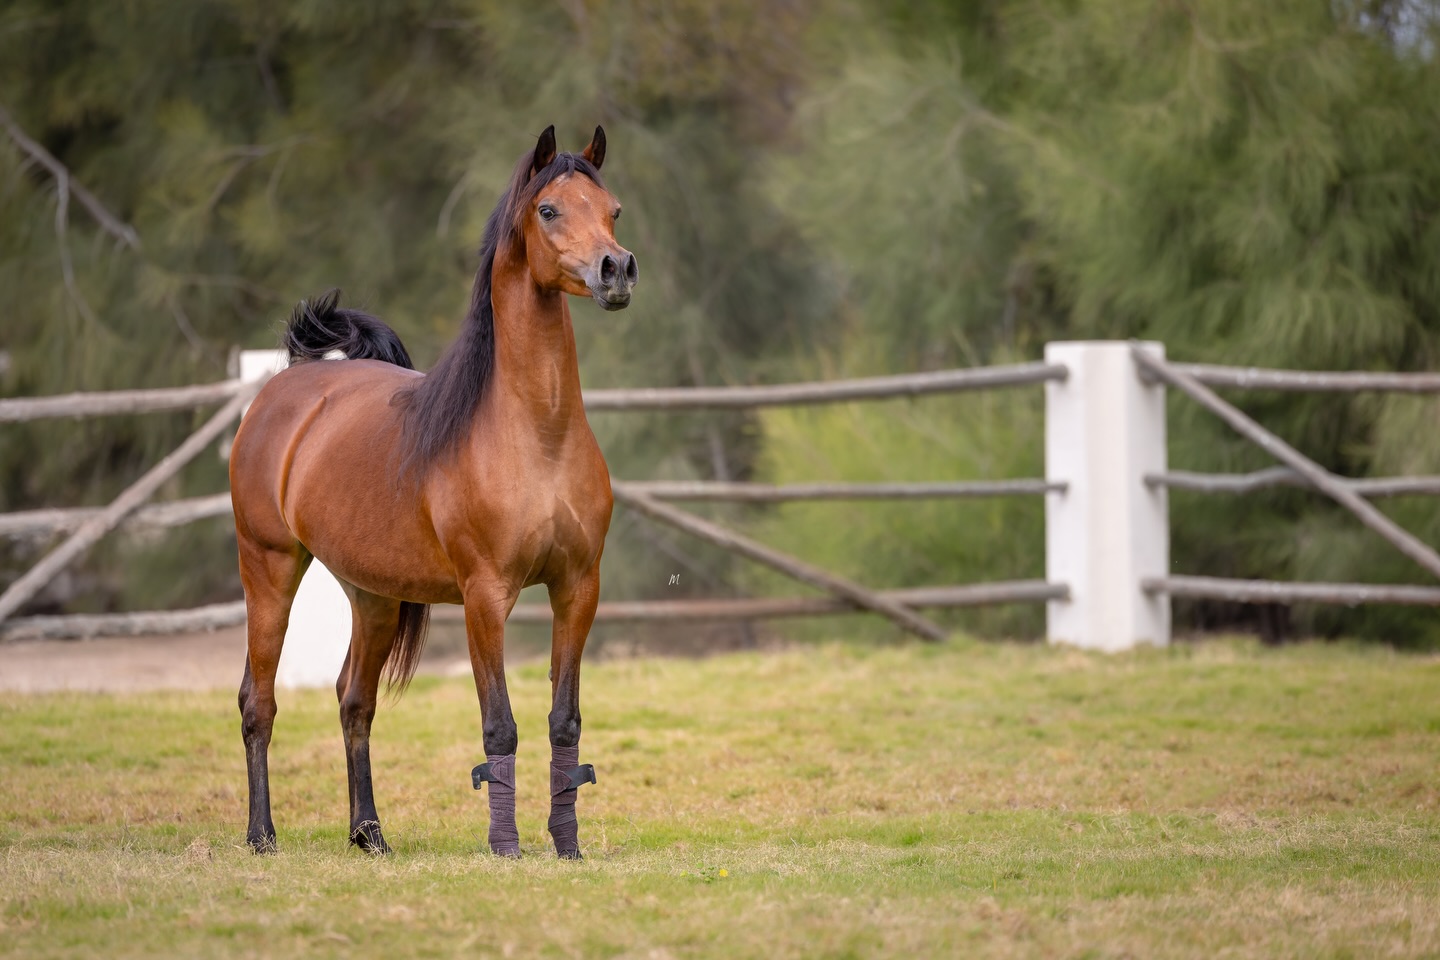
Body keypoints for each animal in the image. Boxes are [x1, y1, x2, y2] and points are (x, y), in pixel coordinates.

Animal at [229, 124, 635, 860]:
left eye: (612, 209)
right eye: (549, 210)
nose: (616, 270)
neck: (535, 433)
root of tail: (284, 390)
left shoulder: (577, 588)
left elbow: (564, 721)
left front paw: (567, 845)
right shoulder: (485, 595)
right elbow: (499, 723)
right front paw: (506, 847)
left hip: (374, 596)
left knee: (354, 700)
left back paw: (369, 835)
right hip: (269, 569)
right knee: (259, 701)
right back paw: (262, 835)